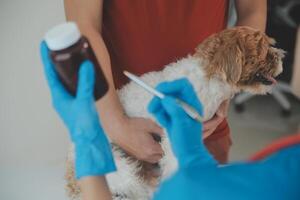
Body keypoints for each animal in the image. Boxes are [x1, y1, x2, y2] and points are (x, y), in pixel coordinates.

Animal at [65, 26, 284, 200]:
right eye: (265, 50)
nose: (282, 55)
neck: (208, 81)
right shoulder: (173, 140)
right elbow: (175, 167)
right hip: (117, 164)